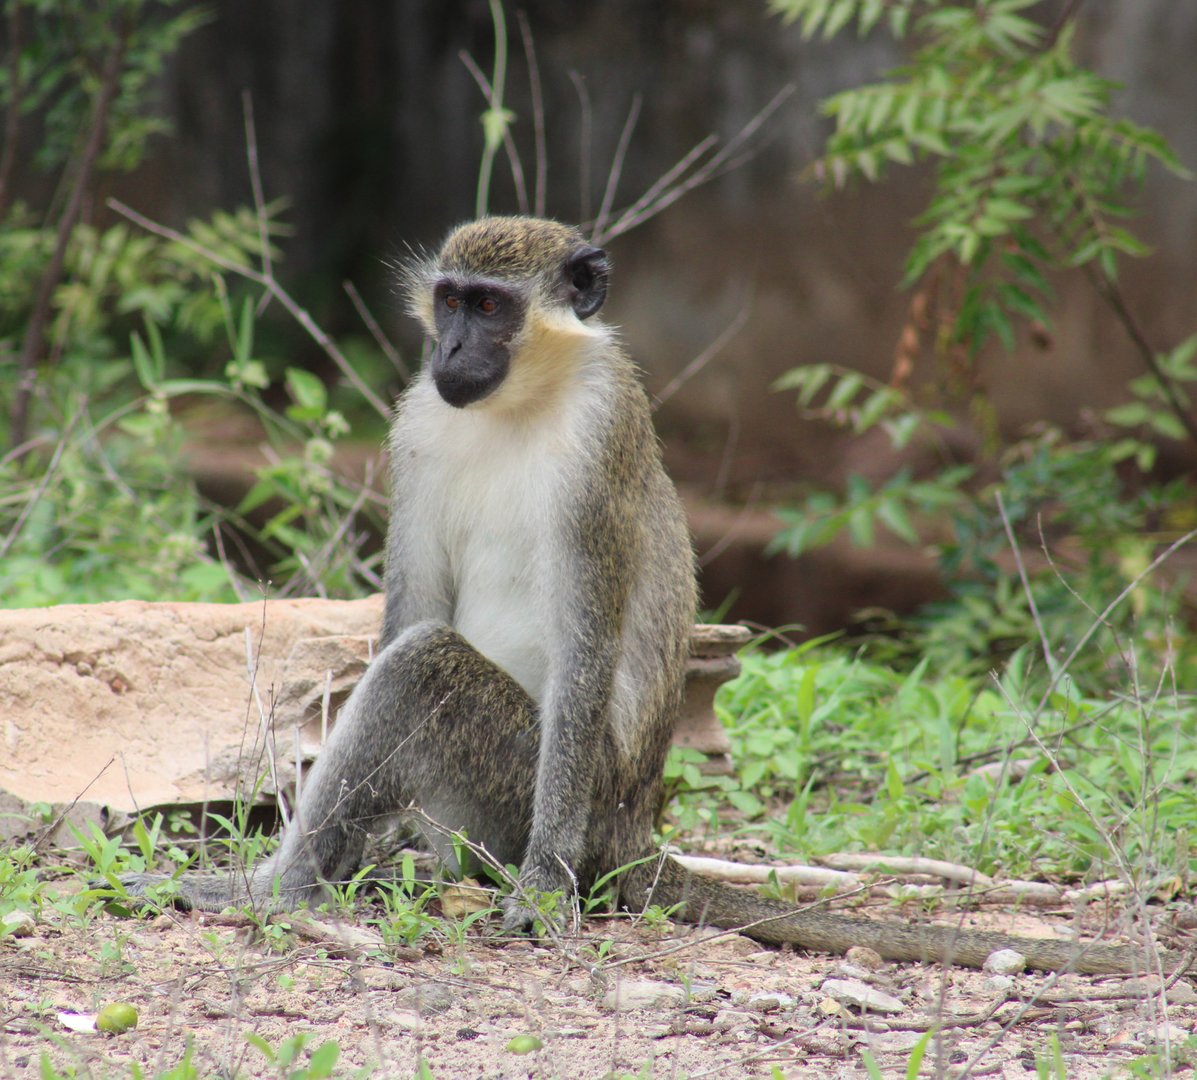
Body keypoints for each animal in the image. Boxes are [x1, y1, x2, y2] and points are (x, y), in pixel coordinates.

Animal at [120, 216, 1167, 976]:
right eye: (450, 300)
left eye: (491, 307)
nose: (449, 348)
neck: (520, 402)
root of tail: (631, 827)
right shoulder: (417, 425)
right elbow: (413, 604)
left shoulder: (602, 438)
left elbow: (576, 643)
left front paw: (539, 889)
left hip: (519, 787)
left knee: (427, 673)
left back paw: (286, 890)